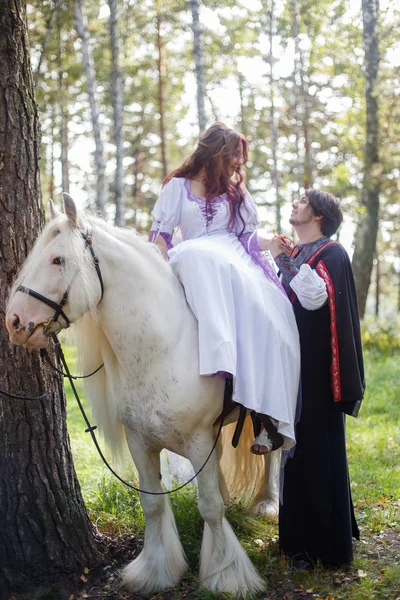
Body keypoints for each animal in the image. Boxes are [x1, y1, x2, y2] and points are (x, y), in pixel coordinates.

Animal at [6, 196, 280, 596]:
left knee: (275, 454)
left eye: (57, 260)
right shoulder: (141, 441)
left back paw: (267, 501)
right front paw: (155, 572)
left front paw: (226, 575)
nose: (13, 321)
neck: (164, 346)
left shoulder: (199, 440)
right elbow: (152, 505)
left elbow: (210, 507)